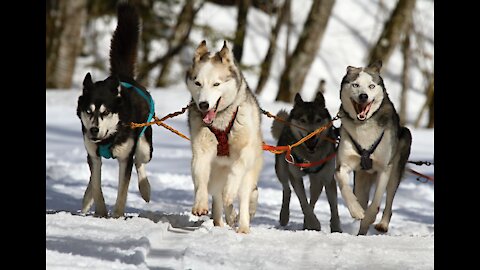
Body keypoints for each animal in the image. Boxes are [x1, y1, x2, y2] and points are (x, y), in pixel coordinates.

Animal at [76, 2, 153, 217]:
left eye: (105, 112)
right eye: (88, 111)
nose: (94, 129)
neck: (109, 137)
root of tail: (123, 77)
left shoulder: (125, 158)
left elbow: (122, 191)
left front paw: (117, 215)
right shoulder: (93, 155)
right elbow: (96, 184)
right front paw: (101, 212)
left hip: (145, 147)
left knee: (140, 161)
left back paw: (145, 189)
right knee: (92, 179)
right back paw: (86, 200)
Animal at [186, 40, 264, 234]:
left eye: (216, 84)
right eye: (198, 83)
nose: (203, 104)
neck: (221, 121)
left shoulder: (246, 152)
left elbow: (237, 168)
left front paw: (230, 191)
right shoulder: (201, 152)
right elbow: (200, 177)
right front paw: (200, 204)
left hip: (248, 176)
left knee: (243, 197)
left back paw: (243, 226)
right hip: (216, 176)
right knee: (218, 198)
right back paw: (221, 222)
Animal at [272, 93, 344, 232]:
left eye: (318, 120)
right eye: (303, 120)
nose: (312, 135)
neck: (310, 157)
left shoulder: (328, 178)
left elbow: (333, 207)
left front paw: (336, 229)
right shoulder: (296, 177)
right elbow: (303, 203)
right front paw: (313, 223)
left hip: (317, 180)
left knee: (313, 198)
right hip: (281, 170)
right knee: (287, 190)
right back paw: (284, 216)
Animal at [336, 60, 410, 234]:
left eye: (371, 86)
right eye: (355, 85)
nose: (363, 96)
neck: (364, 126)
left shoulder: (384, 168)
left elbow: (376, 201)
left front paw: (369, 216)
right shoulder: (343, 165)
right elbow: (344, 187)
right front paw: (356, 210)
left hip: (396, 168)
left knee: (389, 200)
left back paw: (382, 224)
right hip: (361, 180)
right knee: (361, 197)